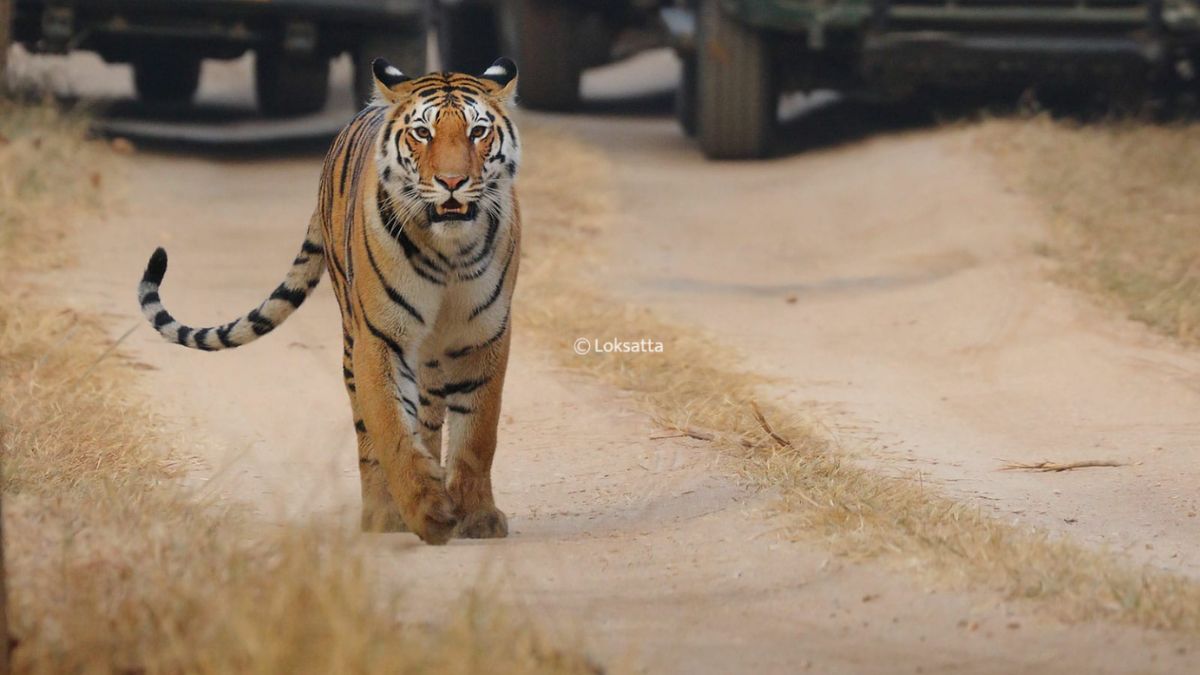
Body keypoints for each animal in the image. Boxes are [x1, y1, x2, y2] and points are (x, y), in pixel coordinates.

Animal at [136, 57, 522, 545]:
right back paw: (383, 514)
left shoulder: (484, 336)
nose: (452, 182)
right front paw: (427, 512)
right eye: (423, 133)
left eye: (477, 132)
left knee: (431, 415)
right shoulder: (380, 339)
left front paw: (477, 516)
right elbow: (392, 429)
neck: (448, 250)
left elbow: (477, 435)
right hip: (354, 339)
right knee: (371, 431)